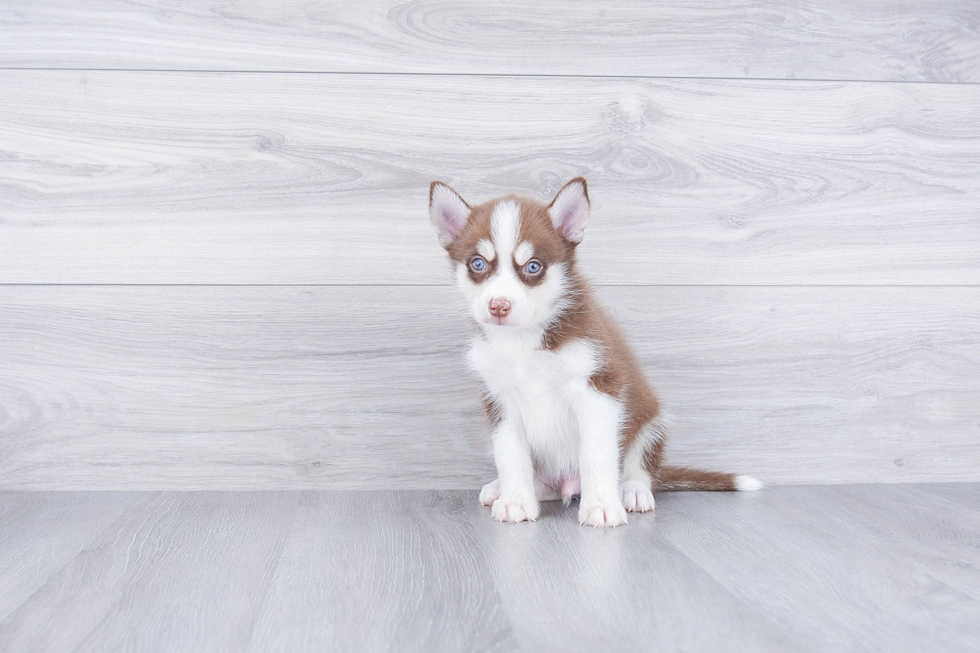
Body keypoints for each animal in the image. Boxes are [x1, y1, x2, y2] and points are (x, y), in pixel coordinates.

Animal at [426, 177, 756, 524]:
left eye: (533, 267)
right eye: (477, 264)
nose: (499, 306)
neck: (523, 340)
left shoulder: (599, 387)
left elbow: (596, 454)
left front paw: (601, 505)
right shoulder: (499, 399)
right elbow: (510, 454)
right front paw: (515, 499)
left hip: (651, 421)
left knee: (640, 467)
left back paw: (632, 490)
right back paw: (503, 488)